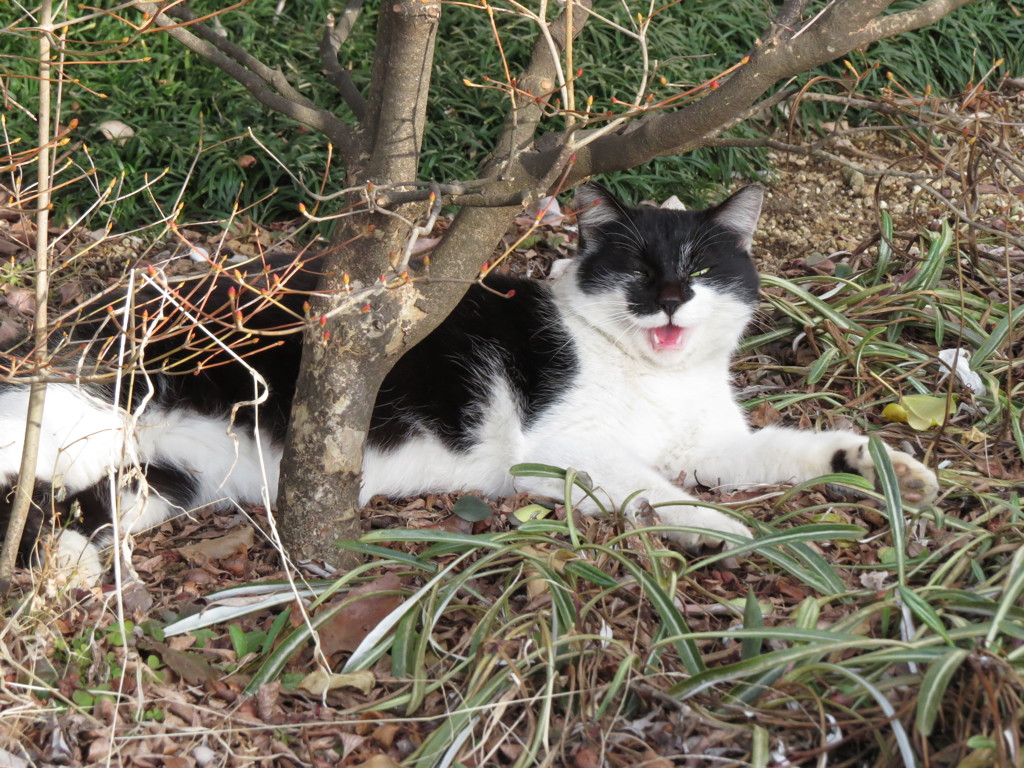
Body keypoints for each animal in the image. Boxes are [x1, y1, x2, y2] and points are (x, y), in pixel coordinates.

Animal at [0, 183, 937, 585]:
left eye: (702, 268)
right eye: (638, 268)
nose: (671, 296)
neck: (654, 378)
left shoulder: (715, 444)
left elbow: (781, 451)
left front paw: (881, 467)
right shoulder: (562, 449)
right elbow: (657, 489)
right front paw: (725, 531)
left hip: (164, 477)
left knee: (86, 508)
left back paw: (71, 563)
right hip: (89, 414)